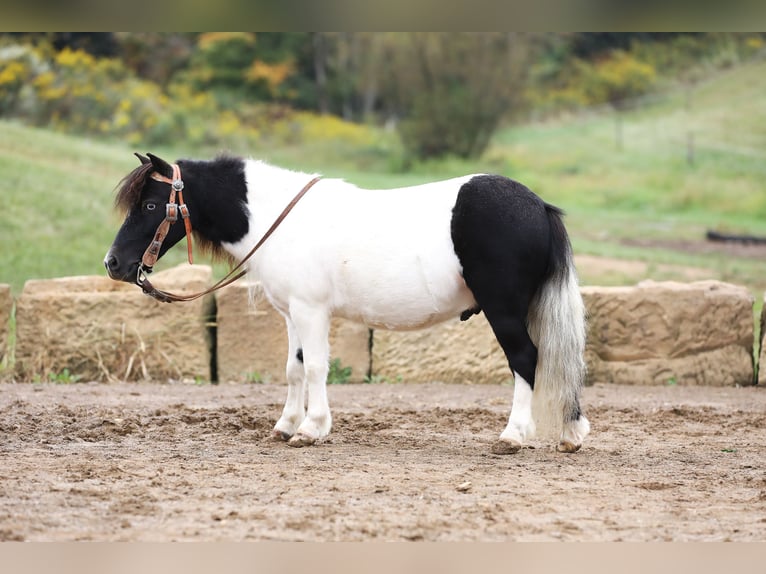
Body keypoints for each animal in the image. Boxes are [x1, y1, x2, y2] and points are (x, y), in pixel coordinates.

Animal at [105, 152, 592, 454]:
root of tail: (538, 205)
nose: (114, 264)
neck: (278, 219)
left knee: (525, 359)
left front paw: (311, 428)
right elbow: (294, 368)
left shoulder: (311, 310)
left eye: (151, 204)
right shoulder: (292, 315)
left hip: (503, 308)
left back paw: (513, 435)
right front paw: (286, 425)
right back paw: (570, 434)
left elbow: (317, 368)